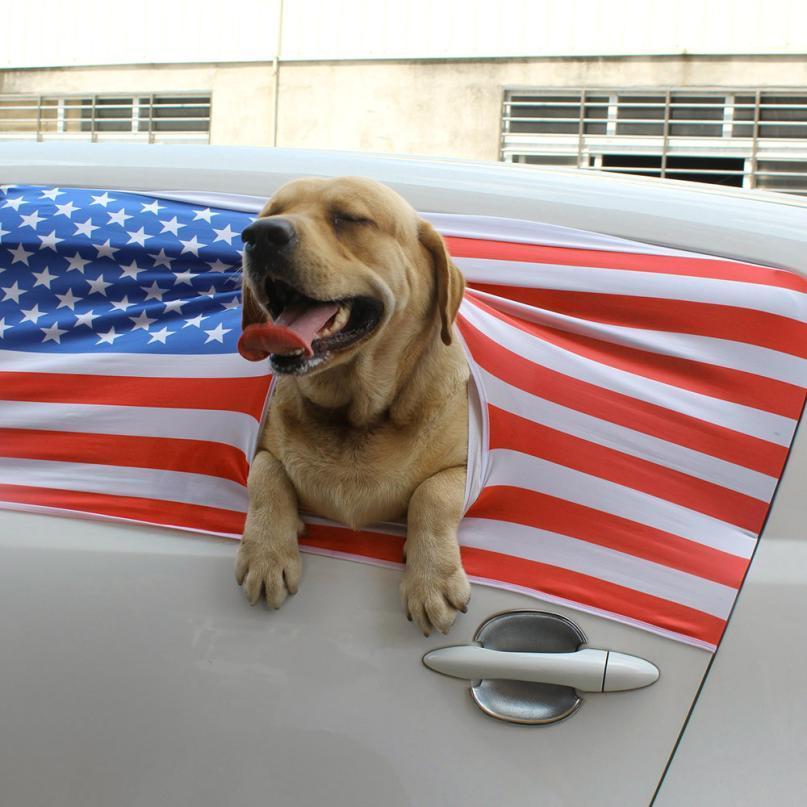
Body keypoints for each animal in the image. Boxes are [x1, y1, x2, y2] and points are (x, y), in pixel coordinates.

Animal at [237, 177, 470, 636]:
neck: (354, 415)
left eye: (348, 217)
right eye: (271, 212)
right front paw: (266, 552)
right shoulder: (264, 446)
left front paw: (431, 579)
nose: (259, 235)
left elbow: (432, 493)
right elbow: (264, 473)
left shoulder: (469, 467)